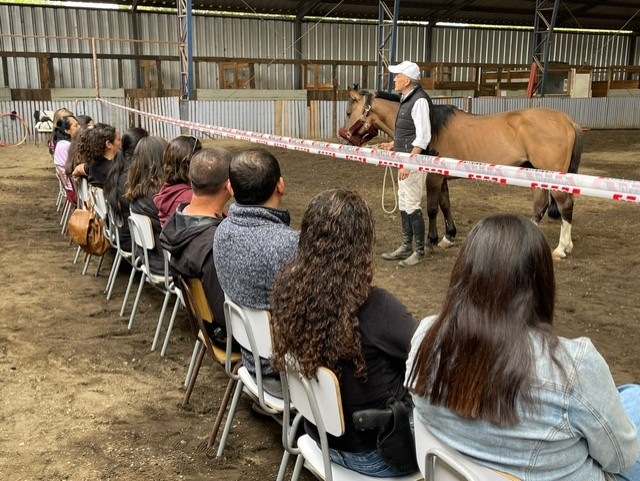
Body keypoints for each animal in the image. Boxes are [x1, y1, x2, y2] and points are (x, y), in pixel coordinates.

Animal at [339, 88, 584, 259]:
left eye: (349, 112)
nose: (345, 139)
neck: (429, 126)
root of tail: (567, 120)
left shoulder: (434, 177)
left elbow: (432, 208)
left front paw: (431, 239)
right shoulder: (443, 178)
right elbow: (445, 205)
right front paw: (448, 236)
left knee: (565, 205)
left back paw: (562, 248)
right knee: (541, 205)